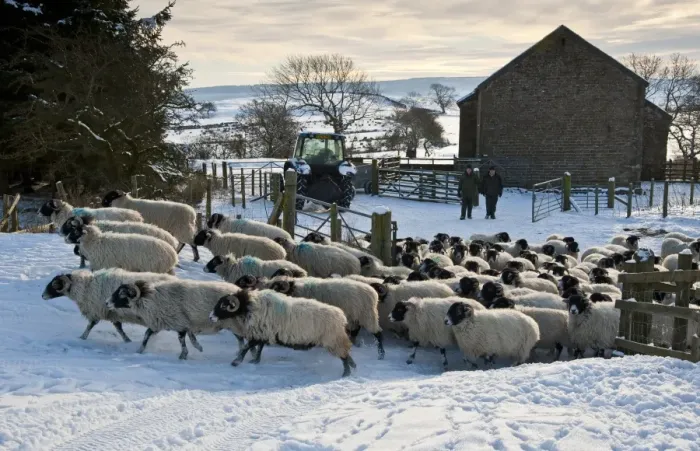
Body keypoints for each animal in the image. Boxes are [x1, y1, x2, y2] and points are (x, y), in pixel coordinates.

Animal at [41, 268, 174, 342]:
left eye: (54, 285)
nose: (42, 296)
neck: (86, 286)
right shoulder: (112, 312)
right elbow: (118, 328)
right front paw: (127, 340)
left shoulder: (96, 310)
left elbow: (90, 325)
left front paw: (82, 337)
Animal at [106, 279, 247, 359]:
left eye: (122, 293)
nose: (107, 303)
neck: (151, 299)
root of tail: (240, 290)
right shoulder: (161, 322)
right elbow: (146, 335)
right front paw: (139, 350)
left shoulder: (179, 322)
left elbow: (181, 339)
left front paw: (183, 355)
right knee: (240, 339)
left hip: (233, 324)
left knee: (241, 339)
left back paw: (241, 353)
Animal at [210, 289, 356, 377]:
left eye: (223, 305)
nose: (210, 317)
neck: (249, 306)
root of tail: (342, 318)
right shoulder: (263, 334)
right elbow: (259, 348)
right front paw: (255, 360)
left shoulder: (260, 333)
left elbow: (246, 347)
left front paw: (236, 362)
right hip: (336, 340)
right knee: (346, 353)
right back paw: (352, 366)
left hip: (333, 340)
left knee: (344, 356)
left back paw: (346, 373)